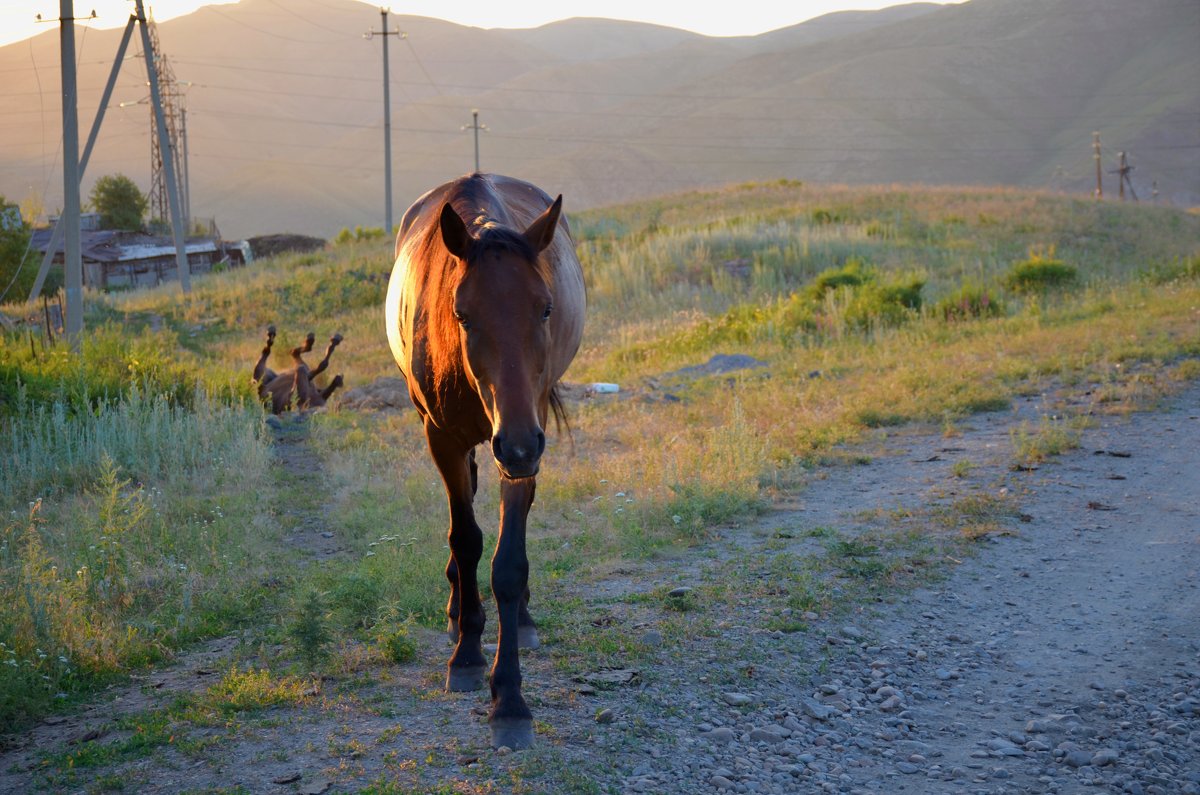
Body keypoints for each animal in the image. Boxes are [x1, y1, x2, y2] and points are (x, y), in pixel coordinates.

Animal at [386, 171, 588, 749]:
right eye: (463, 314)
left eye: (545, 308)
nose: (518, 444)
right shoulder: (444, 439)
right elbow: (467, 538)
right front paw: (469, 655)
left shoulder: (523, 438)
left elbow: (508, 563)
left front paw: (511, 699)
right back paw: (459, 612)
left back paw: (520, 619)